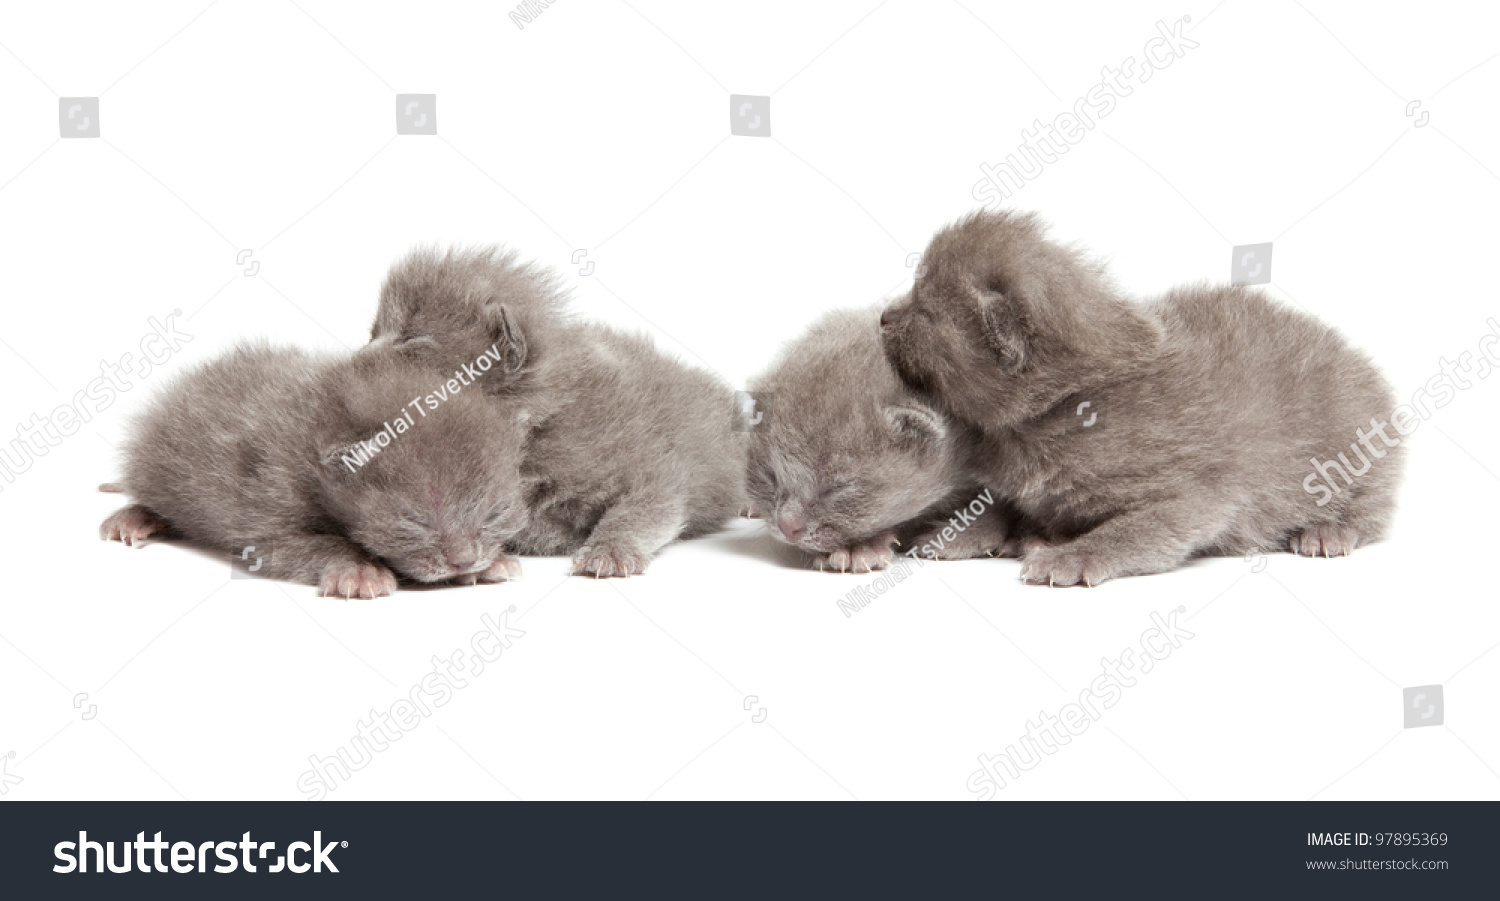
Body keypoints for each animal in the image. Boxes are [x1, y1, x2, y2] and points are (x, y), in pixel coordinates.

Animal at [101, 340, 534, 593]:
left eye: (494, 514)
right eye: (415, 520)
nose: (464, 559)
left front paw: (492, 560)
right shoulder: (269, 508)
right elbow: (308, 544)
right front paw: (358, 569)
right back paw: (133, 518)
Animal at [369, 244, 744, 575]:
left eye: (410, 338)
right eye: (374, 333)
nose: (359, 357)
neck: (540, 421)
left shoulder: (653, 468)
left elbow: (643, 508)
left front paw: (609, 551)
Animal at [876, 211, 1404, 590]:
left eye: (923, 310)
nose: (882, 317)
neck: (1062, 405)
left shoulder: (1193, 496)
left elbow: (1130, 531)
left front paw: (1071, 556)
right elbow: (998, 505)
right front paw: (955, 533)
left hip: (1357, 456)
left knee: (1371, 512)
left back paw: (1327, 532)